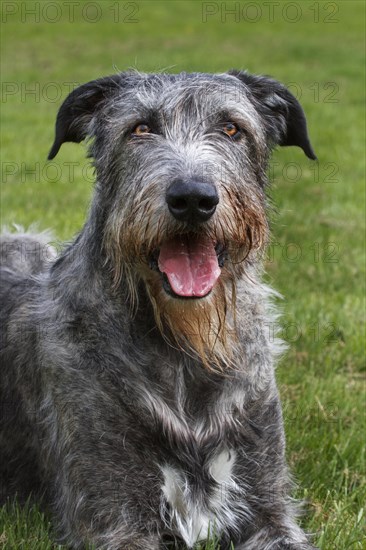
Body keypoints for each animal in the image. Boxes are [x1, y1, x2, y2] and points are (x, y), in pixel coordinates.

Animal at [0, 71, 318, 548]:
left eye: (231, 128)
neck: (187, 342)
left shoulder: (269, 508)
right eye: (140, 129)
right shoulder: (116, 517)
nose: (192, 198)